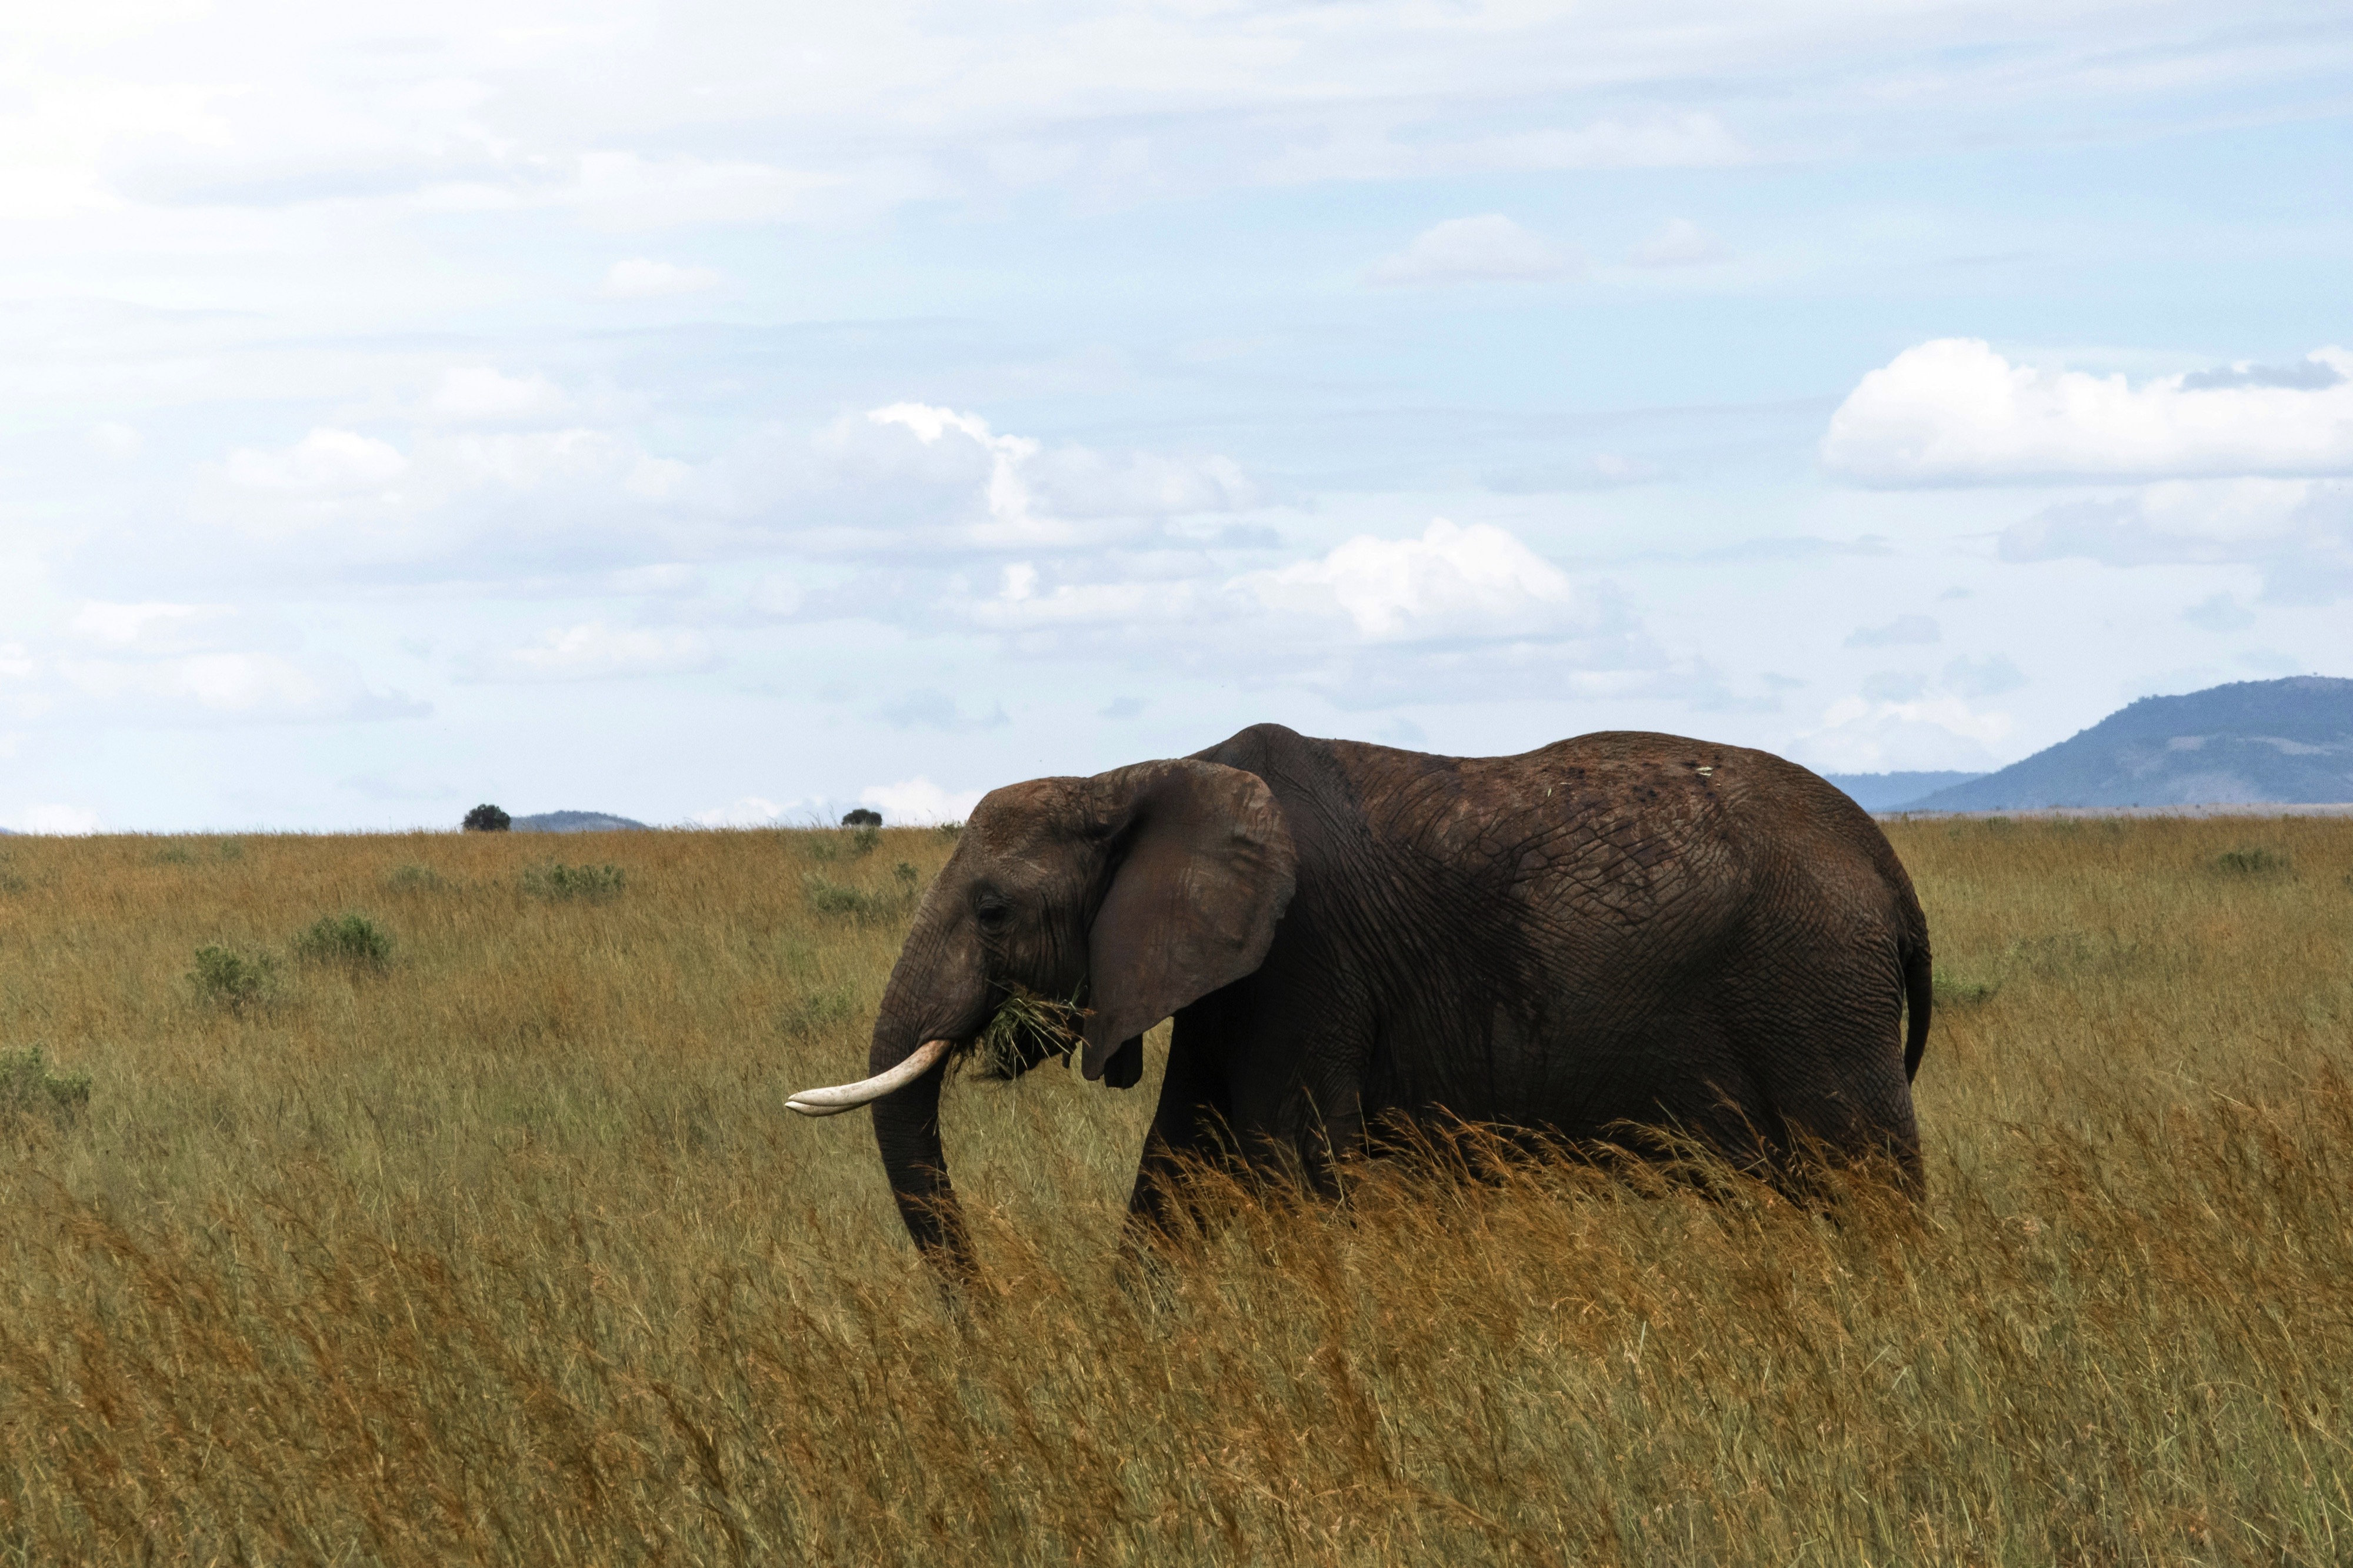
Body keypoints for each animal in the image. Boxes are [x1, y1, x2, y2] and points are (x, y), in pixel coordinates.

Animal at [790, 723, 1932, 1274]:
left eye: (991, 910)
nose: (989, 1316)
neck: (1141, 775)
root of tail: (1885, 861)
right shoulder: (1228, 982)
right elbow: (1174, 1171)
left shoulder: (1304, 960)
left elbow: (1290, 1169)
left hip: (1817, 989)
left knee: (1869, 1177)